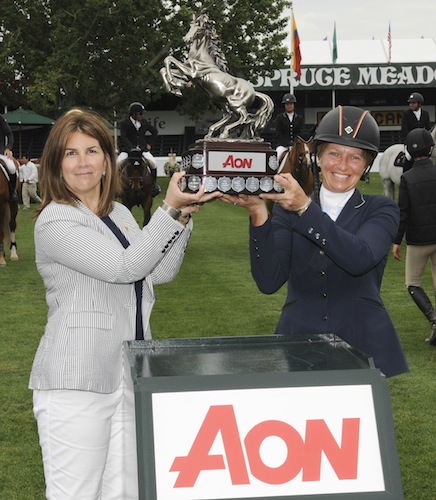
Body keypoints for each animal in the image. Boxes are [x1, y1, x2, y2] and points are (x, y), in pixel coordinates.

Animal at [160, 11, 272, 141]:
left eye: (199, 28)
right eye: (191, 26)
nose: (186, 39)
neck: (201, 57)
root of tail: (254, 91)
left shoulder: (193, 72)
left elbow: (169, 59)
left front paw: (175, 85)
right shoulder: (189, 76)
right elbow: (163, 69)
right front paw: (175, 88)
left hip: (236, 104)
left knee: (245, 118)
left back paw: (225, 133)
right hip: (223, 102)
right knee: (231, 116)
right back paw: (212, 133)